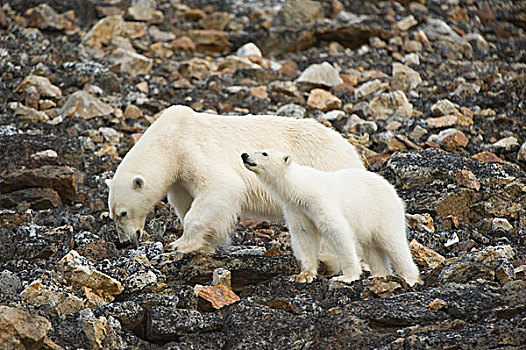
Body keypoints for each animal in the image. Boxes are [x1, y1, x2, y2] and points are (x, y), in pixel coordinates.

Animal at [105, 104, 366, 258]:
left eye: (123, 213)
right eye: (112, 215)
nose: (125, 242)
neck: (168, 140)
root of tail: (352, 152)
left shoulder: (191, 149)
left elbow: (221, 186)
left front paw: (181, 244)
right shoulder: (179, 177)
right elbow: (186, 202)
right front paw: (206, 243)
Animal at [242, 149, 420, 286]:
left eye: (264, 153)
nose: (244, 155)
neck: (301, 188)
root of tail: (392, 190)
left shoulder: (320, 200)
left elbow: (337, 229)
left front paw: (346, 277)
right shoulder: (296, 209)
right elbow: (304, 235)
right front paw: (303, 275)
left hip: (383, 211)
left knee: (393, 243)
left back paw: (410, 278)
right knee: (372, 248)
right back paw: (379, 275)